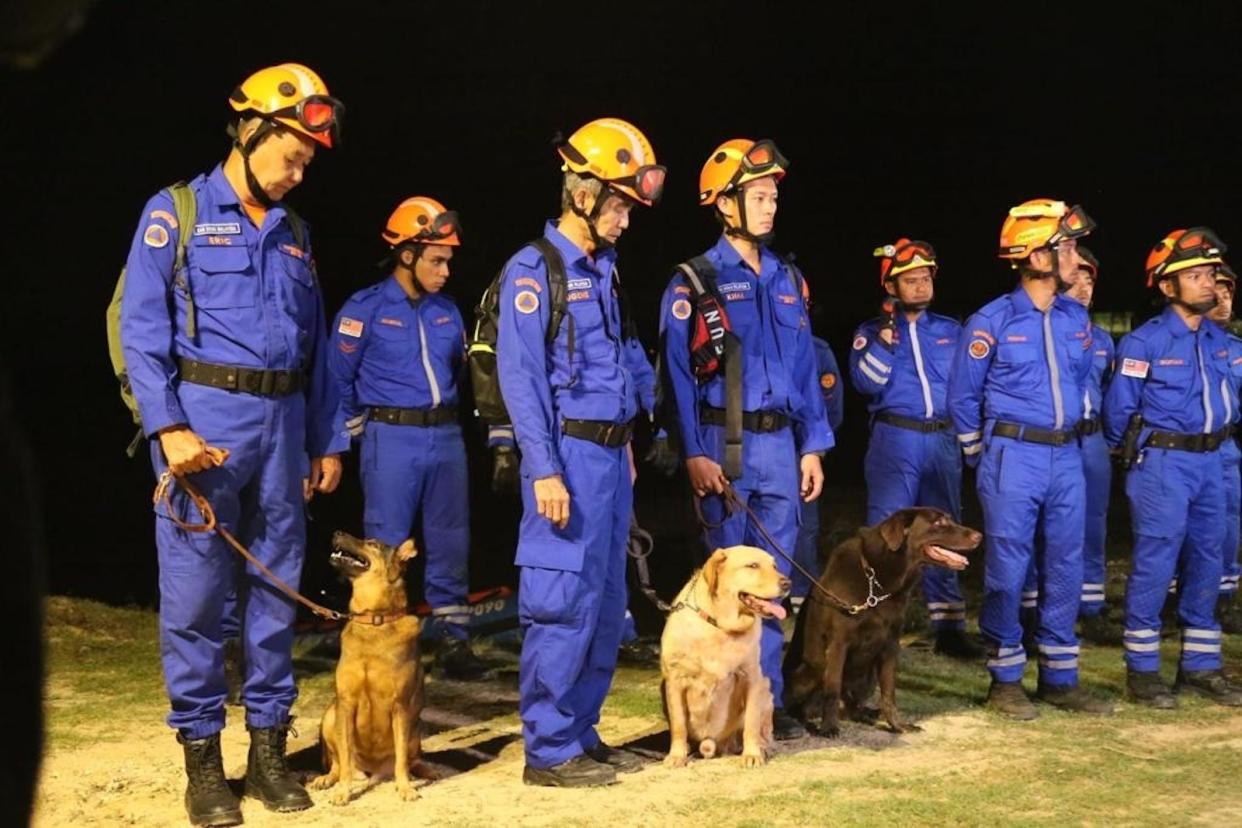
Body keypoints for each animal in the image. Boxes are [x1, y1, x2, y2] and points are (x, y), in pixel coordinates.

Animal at [310, 533, 432, 804]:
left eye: (372, 543)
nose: (336, 532)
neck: (375, 619)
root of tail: (373, 772)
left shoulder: (400, 706)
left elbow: (401, 760)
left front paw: (405, 788)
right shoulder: (345, 704)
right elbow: (345, 759)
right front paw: (342, 792)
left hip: (416, 728)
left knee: (412, 759)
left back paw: (426, 770)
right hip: (330, 716)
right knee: (337, 764)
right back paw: (326, 779)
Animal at [655, 543, 789, 769]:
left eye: (774, 566)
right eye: (753, 565)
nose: (788, 583)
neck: (720, 626)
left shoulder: (752, 677)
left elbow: (751, 723)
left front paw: (752, 754)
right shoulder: (674, 680)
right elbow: (679, 725)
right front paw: (677, 755)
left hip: (766, 689)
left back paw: (762, 748)